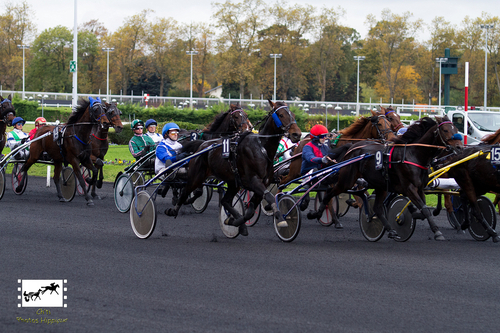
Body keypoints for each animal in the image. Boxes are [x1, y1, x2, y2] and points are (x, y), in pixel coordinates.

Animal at [167, 100, 300, 235]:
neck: (262, 148)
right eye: (281, 115)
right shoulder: (254, 181)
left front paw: (234, 222)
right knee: (185, 190)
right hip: (197, 176)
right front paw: (281, 219)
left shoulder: (263, 183)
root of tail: (203, 145)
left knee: (225, 201)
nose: (297, 134)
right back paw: (173, 209)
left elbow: (250, 211)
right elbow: (269, 197)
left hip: (233, 183)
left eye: (293, 115)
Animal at [306, 115, 462, 240]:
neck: (412, 154)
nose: (460, 147)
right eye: (446, 130)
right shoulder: (409, 188)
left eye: (456, 129)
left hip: (381, 185)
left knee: (377, 208)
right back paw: (317, 214)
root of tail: (351, 147)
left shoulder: (419, 188)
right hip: (347, 180)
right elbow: (424, 209)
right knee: (330, 193)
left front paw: (413, 212)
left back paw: (391, 230)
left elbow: (423, 210)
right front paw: (437, 232)